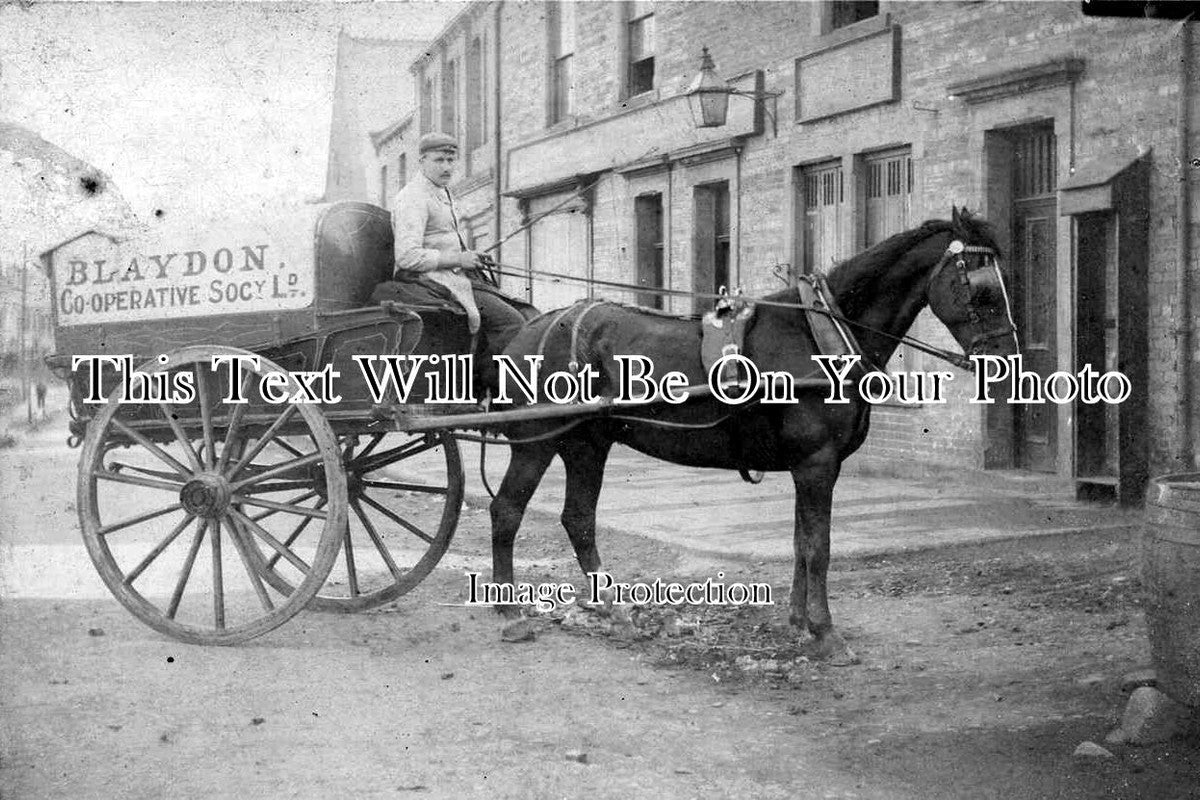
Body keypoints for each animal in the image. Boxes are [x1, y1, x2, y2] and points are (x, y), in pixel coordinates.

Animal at [487, 206, 1022, 662]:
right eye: (982, 289)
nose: (1006, 359)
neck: (819, 336)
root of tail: (529, 330)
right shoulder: (817, 462)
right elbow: (819, 547)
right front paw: (826, 632)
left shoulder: (810, 466)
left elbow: (801, 542)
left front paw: (799, 621)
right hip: (537, 443)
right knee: (507, 510)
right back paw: (510, 611)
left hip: (587, 445)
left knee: (578, 520)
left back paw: (615, 611)